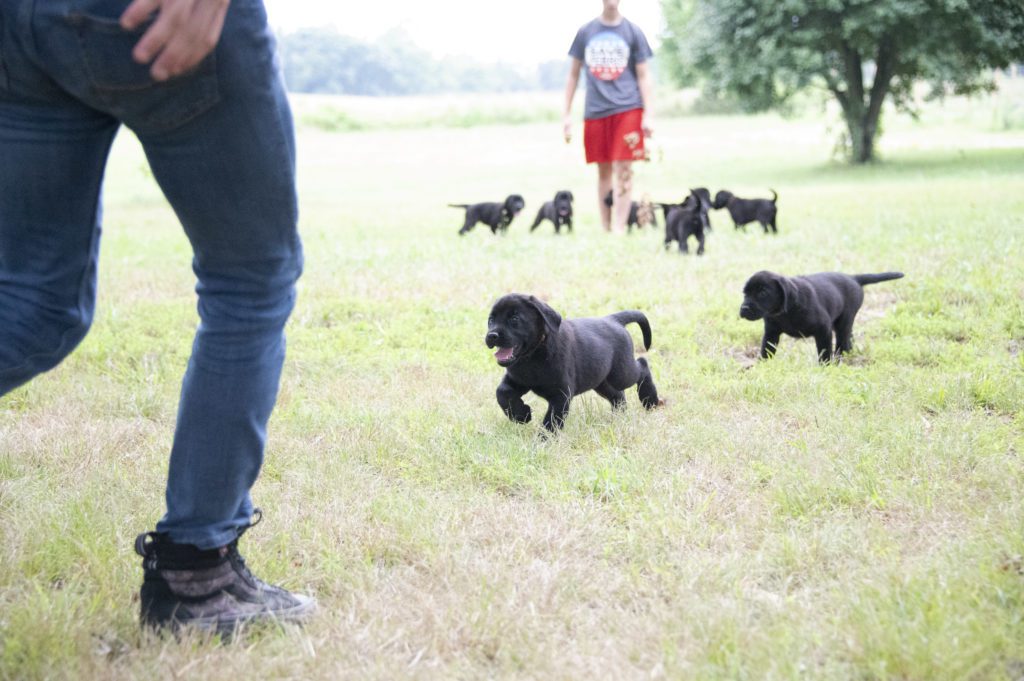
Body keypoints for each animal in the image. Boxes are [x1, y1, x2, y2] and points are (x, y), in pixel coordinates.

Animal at [485, 292, 663, 430]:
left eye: (514, 318)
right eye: (491, 320)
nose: (491, 336)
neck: (533, 356)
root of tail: (613, 319)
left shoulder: (561, 394)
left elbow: (551, 421)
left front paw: (543, 442)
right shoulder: (516, 380)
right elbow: (502, 392)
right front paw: (521, 415)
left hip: (621, 373)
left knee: (642, 365)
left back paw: (650, 400)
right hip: (601, 381)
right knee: (618, 396)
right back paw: (618, 418)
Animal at [737, 270, 905, 364]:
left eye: (762, 292)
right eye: (745, 293)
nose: (744, 308)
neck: (785, 311)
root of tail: (853, 278)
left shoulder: (823, 329)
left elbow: (824, 351)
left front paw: (826, 367)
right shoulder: (771, 333)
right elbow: (766, 350)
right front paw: (762, 366)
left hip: (844, 320)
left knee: (842, 342)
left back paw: (840, 360)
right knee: (848, 339)